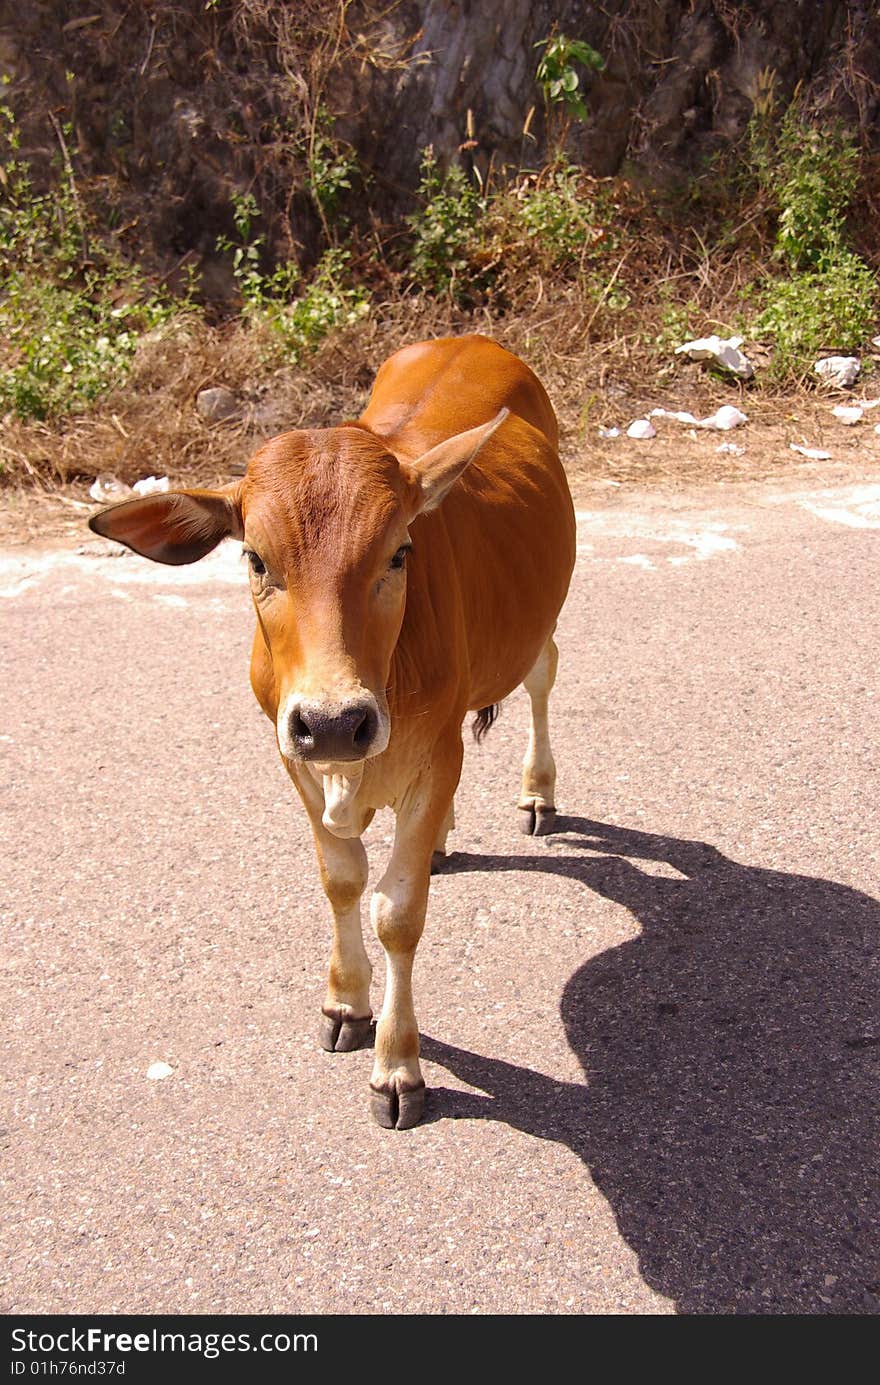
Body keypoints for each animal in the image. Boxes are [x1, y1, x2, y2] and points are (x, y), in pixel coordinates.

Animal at [89, 335, 579, 1124]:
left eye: (400, 552)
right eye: (255, 557)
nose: (336, 721)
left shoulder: (434, 749)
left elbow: (398, 912)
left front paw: (397, 1066)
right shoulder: (291, 752)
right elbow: (342, 879)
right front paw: (347, 1002)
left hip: (537, 627)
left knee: (541, 678)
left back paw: (537, 793)